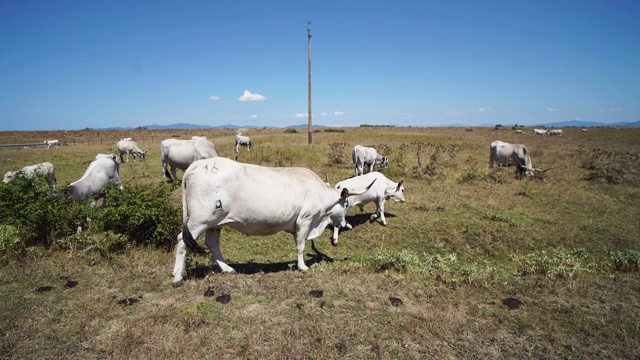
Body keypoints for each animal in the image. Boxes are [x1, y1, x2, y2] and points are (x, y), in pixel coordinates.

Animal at [172, 158, 378, 286]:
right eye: (345, 205)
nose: (344, 225)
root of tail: (197, 165)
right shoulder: (304, 221)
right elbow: (300, 246)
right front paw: (302, 267)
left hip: (215, 223)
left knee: (212, 244)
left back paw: (227, 269)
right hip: (199, 220)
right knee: (182, 241)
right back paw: (177, 277)